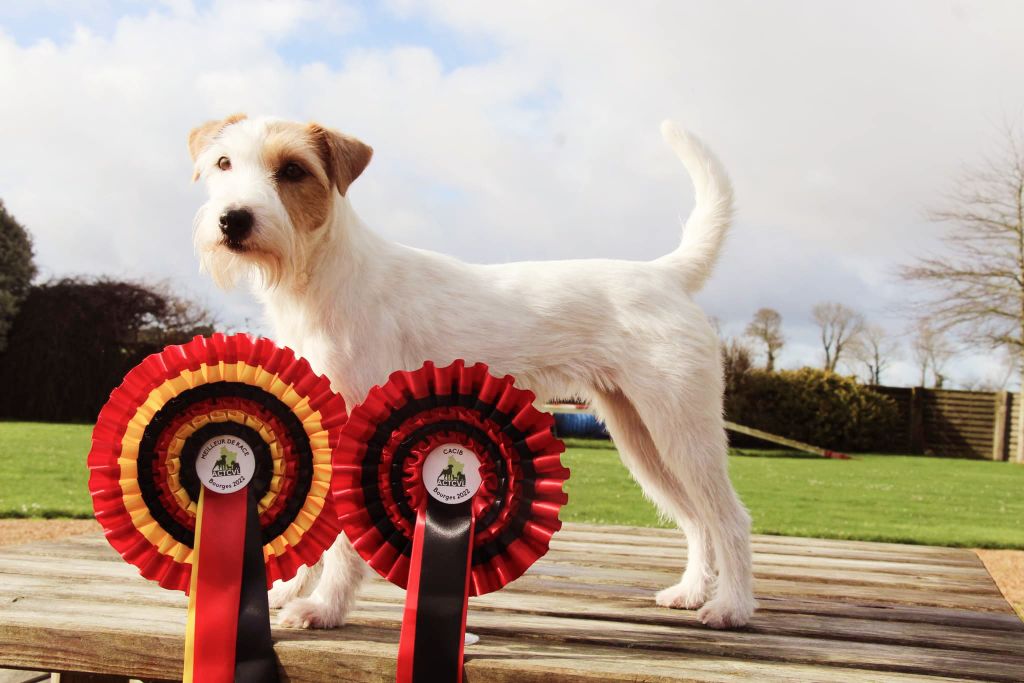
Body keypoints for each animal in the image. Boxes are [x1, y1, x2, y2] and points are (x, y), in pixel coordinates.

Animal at [188, 113, 757, 630]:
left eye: (292, 169)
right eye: (223, 163)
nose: (233, 220)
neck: (319, 276)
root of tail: (667, 275)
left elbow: (346, 539)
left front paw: (325, 608)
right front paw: (291, 593)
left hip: (682, 433)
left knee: (729, 518)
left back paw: (730, 608)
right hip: (643, 439)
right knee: (696, 520)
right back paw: (690, 592)